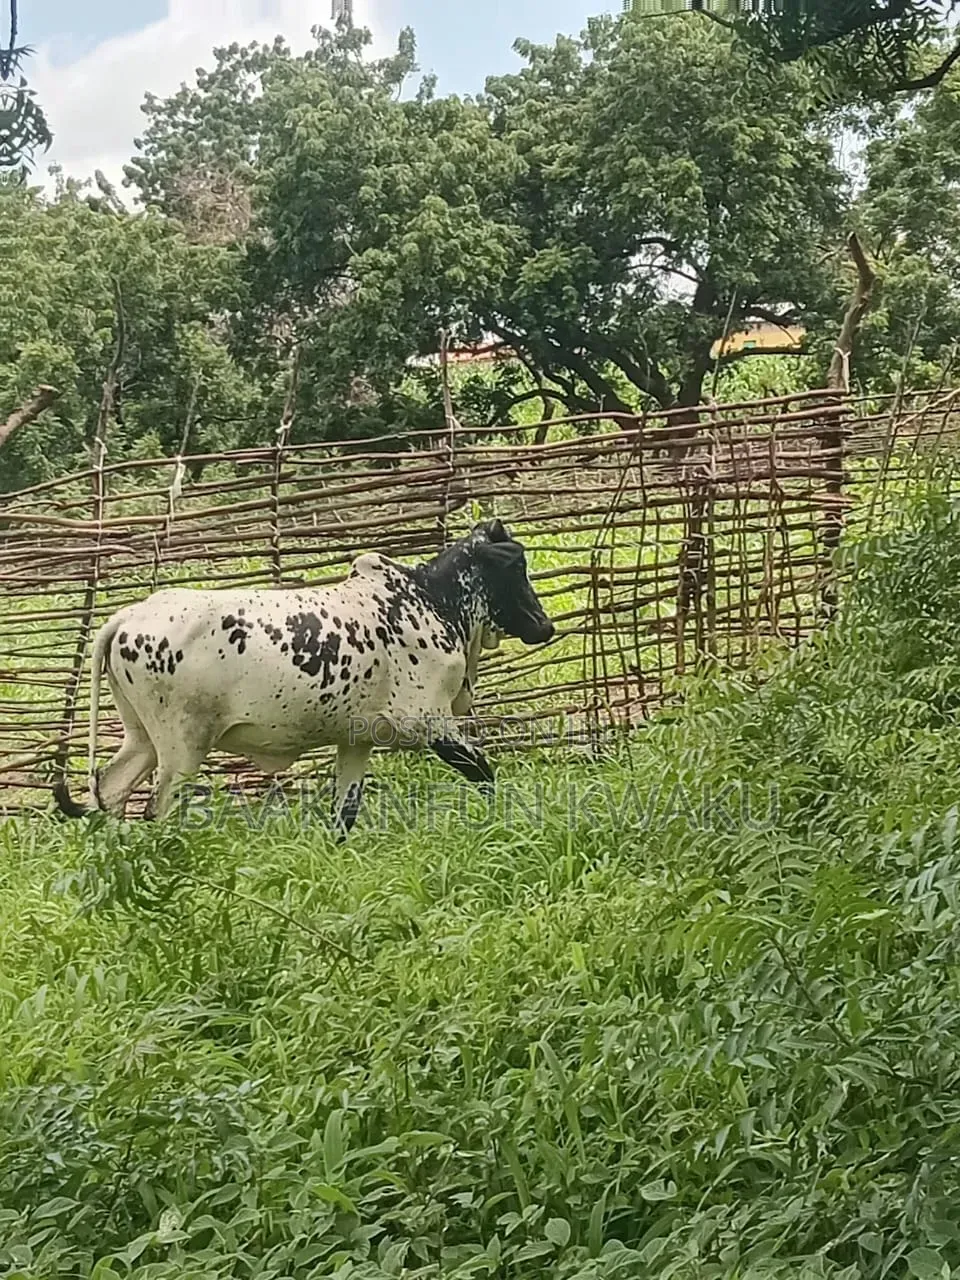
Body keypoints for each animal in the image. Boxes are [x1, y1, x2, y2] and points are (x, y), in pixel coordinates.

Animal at [52, 518, 555, 837]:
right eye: (516, 566)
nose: (544, 626)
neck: (433, 600)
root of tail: (126, 617)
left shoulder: (357, 738)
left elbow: (343, 815)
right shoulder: (429, 722)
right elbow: (484, 772)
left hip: (142, 739)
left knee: (111, 791)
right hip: (182, 747)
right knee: (155, 810)